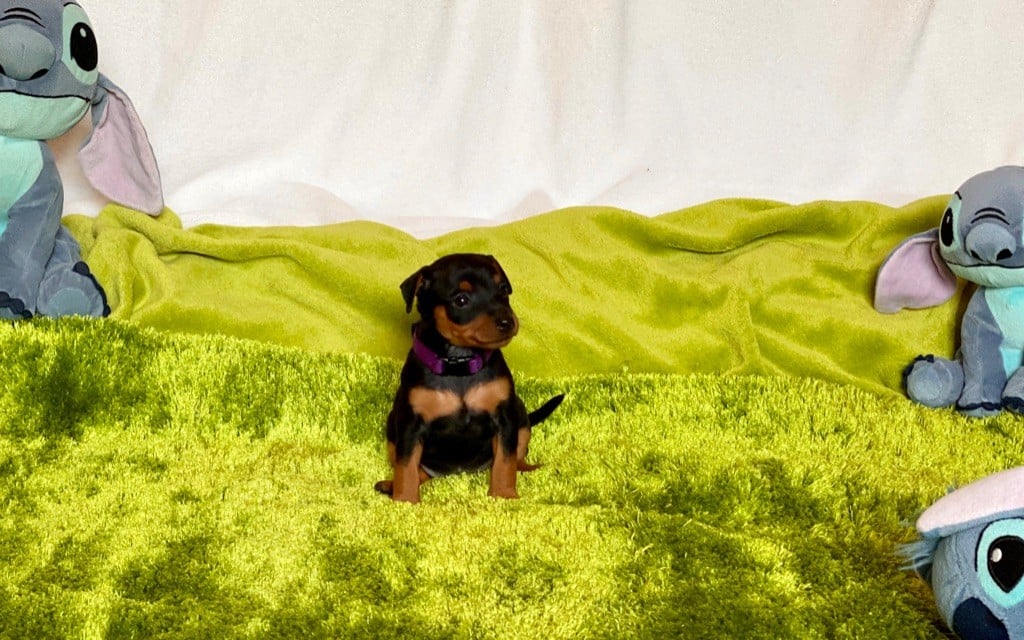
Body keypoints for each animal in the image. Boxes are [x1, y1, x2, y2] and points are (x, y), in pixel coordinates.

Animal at [375, 253, 563, 503]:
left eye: (503, 289)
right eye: (461, 300)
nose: (507, 322)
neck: (459, 365)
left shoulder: (505, 419)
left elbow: (505, 462)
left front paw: (504, 495)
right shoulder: (410, 425)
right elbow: (406, 467)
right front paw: (404, 500)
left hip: (521, 416)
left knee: (517, 457)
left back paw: (530, 468)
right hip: (391, 430)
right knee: (419, 471)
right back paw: (390, 485)